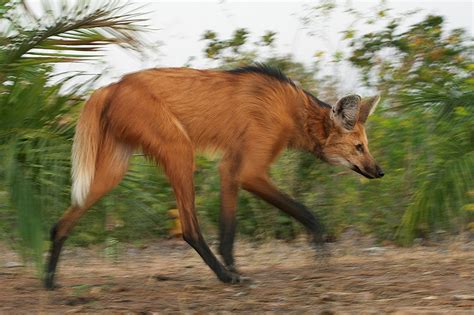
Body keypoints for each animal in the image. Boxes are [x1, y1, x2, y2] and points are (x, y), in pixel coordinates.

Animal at [44, 63, 384, 288]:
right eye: (358, 147)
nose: (379, 171)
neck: (293, 112)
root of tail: (111, 86)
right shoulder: (249, 171)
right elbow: (305, 211)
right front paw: (320, 246)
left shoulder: (230, 168)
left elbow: (228, 230)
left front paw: (236, 266)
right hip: (180, 150)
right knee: (189, 230)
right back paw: (224, 277)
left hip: (114, 170)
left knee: (63, 221)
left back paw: (49, 279)